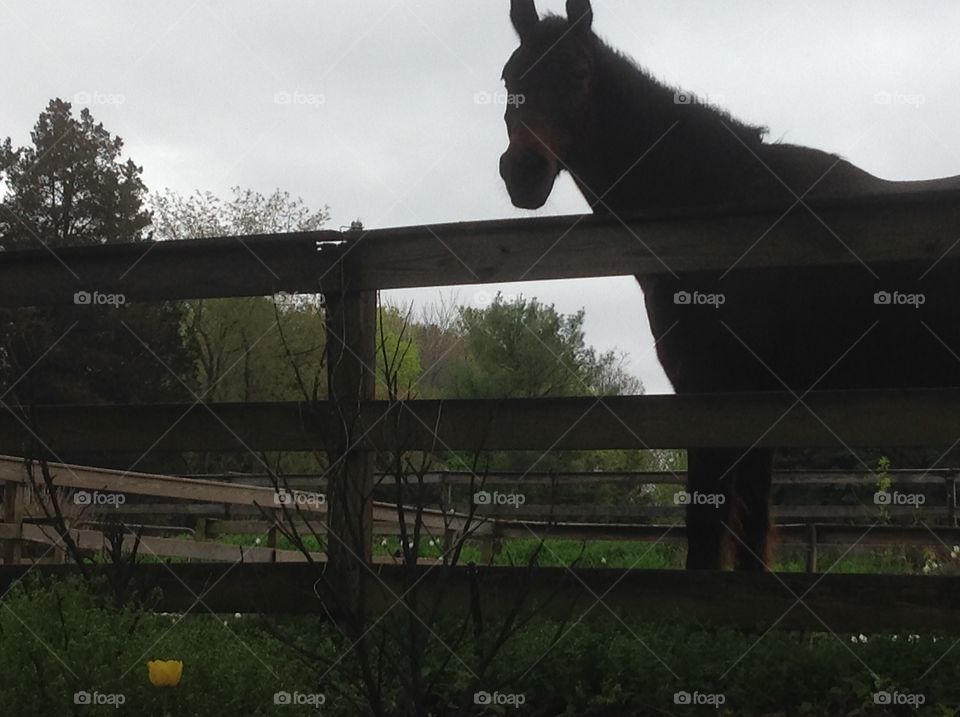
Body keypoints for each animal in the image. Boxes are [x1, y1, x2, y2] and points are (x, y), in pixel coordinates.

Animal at [500, 0, 960, 570]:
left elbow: (706, 541)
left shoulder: (710, 397)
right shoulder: (760, 411)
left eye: (579, 72)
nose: (522, 172)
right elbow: (749, 543)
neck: (723, 211)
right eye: (509, 79)